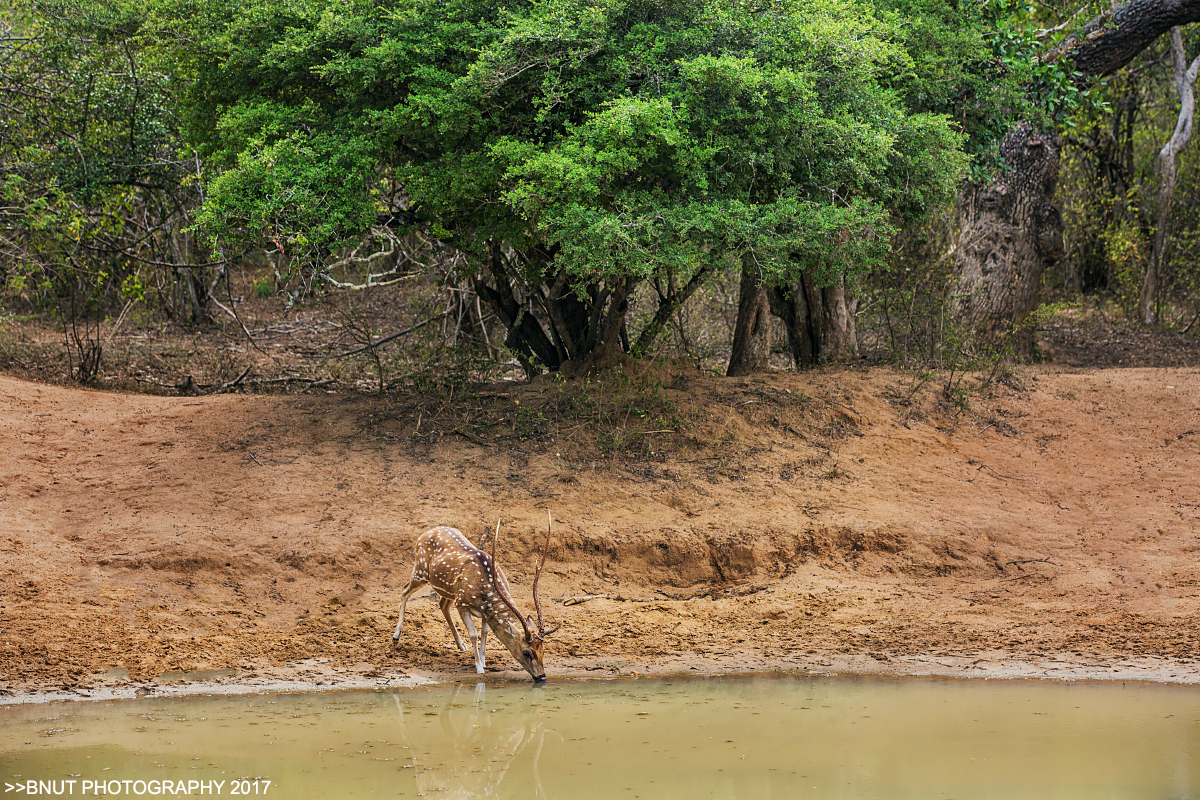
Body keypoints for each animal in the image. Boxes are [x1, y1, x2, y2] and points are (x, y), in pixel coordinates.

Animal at [396, 520, 559, 681]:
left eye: (543, 649)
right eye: (526, 652)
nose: (542, 676)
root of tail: (424, 534)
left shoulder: (483, 611)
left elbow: (485, 632)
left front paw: (483, 660)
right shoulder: (462, 603)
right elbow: (474, 634)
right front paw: (479, 667)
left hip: (449, 590)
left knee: (442, 604)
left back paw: (461, 645)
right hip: (420, 571)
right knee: (404, 591)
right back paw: (396, 636)